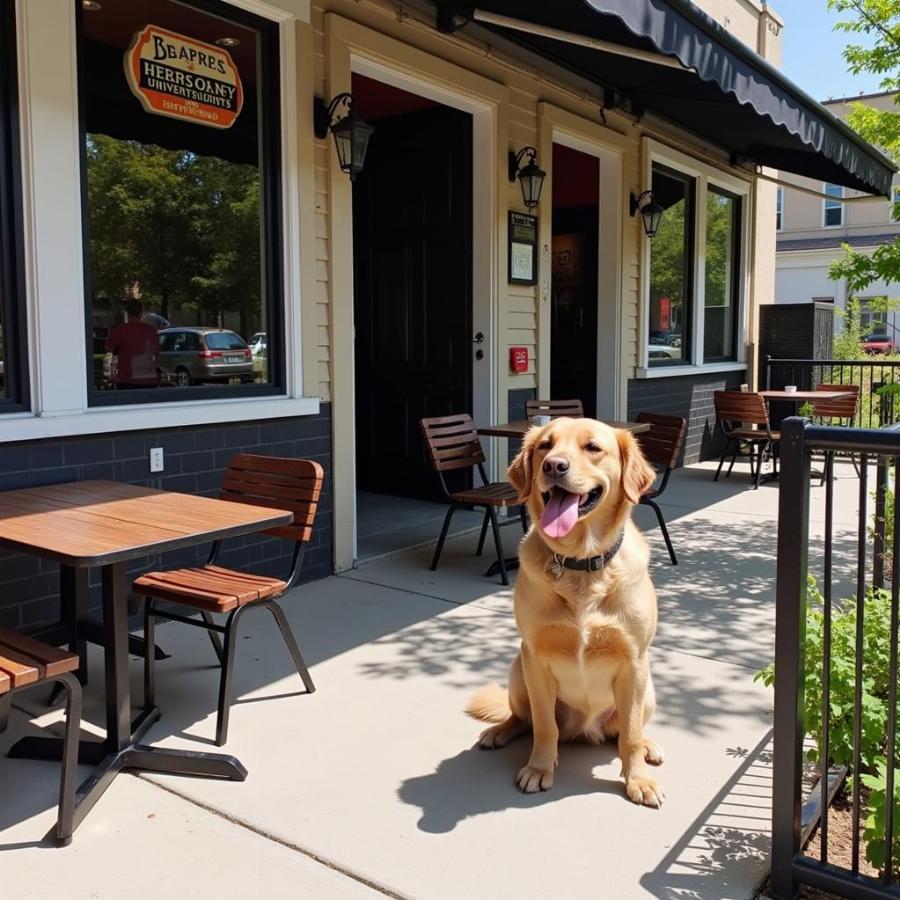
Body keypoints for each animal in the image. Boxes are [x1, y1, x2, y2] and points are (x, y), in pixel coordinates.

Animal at [468, 418, 664, 804]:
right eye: (545, 445)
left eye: (593, 448)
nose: (554, 466)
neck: (579, 562)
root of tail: (583, 731)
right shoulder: (536, 658)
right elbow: (544, 727)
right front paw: (539, 769)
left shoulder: (634, 661)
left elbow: (630, 736)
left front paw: (637, 779)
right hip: (518, 672)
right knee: (523, 718)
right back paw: (499, 731)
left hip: (647, 691)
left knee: (626, 731)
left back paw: (649, 746)